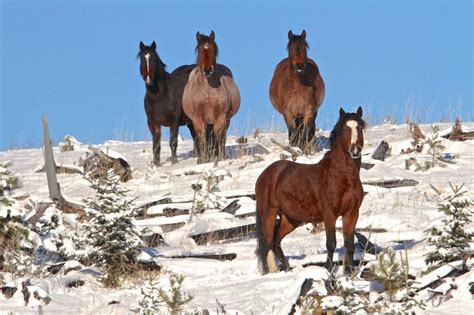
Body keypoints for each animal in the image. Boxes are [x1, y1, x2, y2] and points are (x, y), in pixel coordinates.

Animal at [181, 30, 241, 164]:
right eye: (199, 49)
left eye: (213, 48)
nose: (208, 70)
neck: (208, 91)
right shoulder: (198, 119)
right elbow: (202, 140)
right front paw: (203, 160)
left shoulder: (220, 117)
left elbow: (218, 138)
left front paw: (218, 158)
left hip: (225, 121)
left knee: (221, 138)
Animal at [258, 107, 364, 276]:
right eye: (344, 129)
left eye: (360, 127)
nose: (355, 150)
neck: (342, 177)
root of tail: (265, 174)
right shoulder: (329, 215)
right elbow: (331, 243)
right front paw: (327, 270)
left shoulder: (352, 213)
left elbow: (349, 244)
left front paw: (349, 272)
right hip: (269, 213)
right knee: (268, 241)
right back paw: (275, 272)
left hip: (291, 219)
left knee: (276, 239)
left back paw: (287, 269)